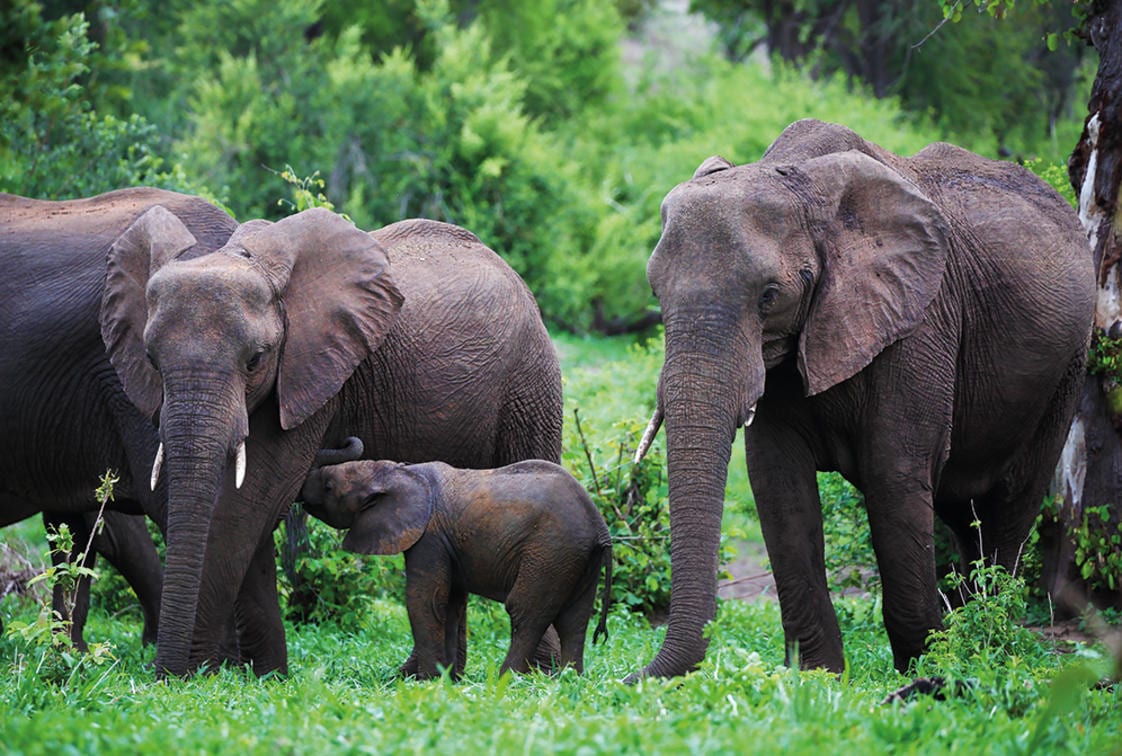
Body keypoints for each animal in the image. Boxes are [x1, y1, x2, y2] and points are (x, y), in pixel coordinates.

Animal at [100, 208, 563, 678]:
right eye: (151, 360)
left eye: (256, 360)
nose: (163, 671)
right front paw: (255, 674)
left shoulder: (313, 371)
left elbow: (250, 500)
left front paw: (192, 675)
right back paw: (429, 675)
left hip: (530, 379)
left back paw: (533, 674)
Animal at [300, 450, 612, 679]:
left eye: (328, 487)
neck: (397, 471)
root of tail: (600, 526)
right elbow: (450, 605)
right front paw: (447, 680)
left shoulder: (429, 537)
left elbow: (425, 601)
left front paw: (427, 682)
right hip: (577, 557)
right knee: (574, 619)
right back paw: (570, 679)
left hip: (550, 551)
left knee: (525, 611)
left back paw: (504, 679)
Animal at [631, 119, 1095, 678]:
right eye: (656, 293)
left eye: (770, 296)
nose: (629, 677)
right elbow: (777, 483)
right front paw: (819, 676)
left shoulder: (920, 320)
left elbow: (894, 474)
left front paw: (925, 670)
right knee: (965, 515)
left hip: (1069, 366)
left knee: (1011, 505)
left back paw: (985, 640)